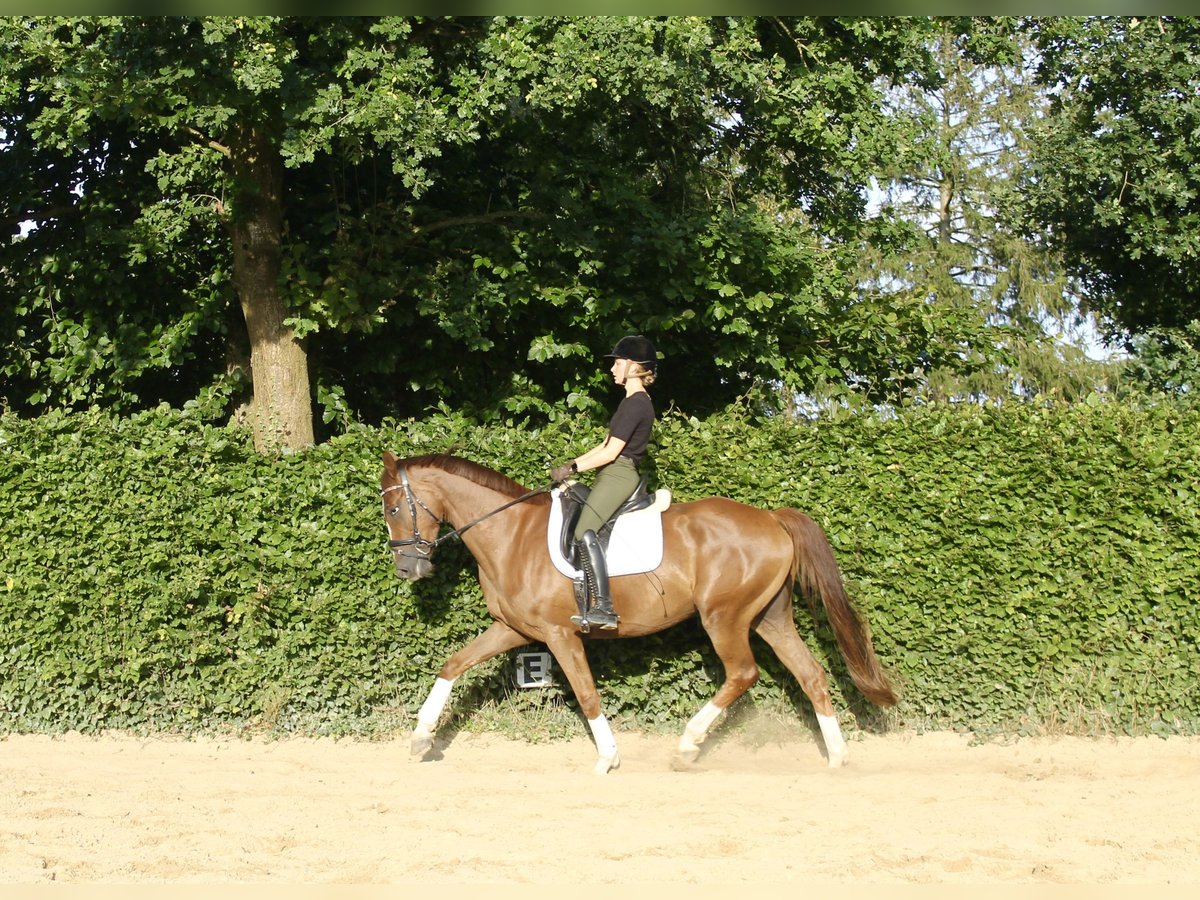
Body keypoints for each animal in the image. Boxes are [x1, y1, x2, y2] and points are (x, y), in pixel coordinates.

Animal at [379, 451, 897, 777]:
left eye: (393, 508)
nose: (407, 568)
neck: (509, 533)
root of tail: (771, 518)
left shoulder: (559, 635)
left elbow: (587, 694)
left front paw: (607, 758)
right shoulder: (512, 628)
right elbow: (452, 664)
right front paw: (421, 738)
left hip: (724, 617)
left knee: (742, 673)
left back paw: (686, 747)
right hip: (770, 616)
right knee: (810, 674)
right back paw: (836, 757)